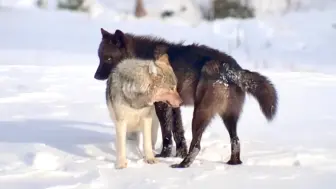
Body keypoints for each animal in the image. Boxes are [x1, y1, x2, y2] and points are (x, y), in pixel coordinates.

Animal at [95, 28, 278, 168]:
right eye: (99, 57)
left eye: (108, 58)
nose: (96, 76)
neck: (141, 56)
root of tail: (232, 69)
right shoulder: (175, 105)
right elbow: (178, 132)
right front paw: (178, 153)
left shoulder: (162, 106)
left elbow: (167, 133)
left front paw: (165, 155)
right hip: (229, 117)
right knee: (236, 140)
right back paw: (233, 163)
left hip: (200, 114)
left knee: (197, 145)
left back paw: (183, 165)